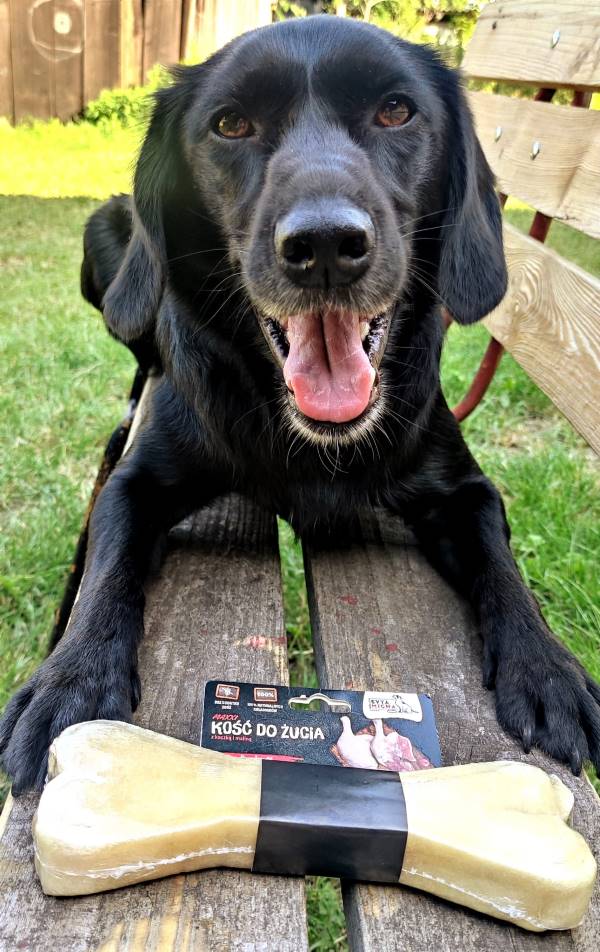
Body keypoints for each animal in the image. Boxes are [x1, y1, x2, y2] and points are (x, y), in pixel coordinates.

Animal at [2, 15, 599, 794]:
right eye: (231, 123)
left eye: (396, 111)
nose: (324, 244)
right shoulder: (134, 483)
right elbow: (108, 566)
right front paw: (69, 677)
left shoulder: (465, 488)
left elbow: (503, 567)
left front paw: (546, 666)